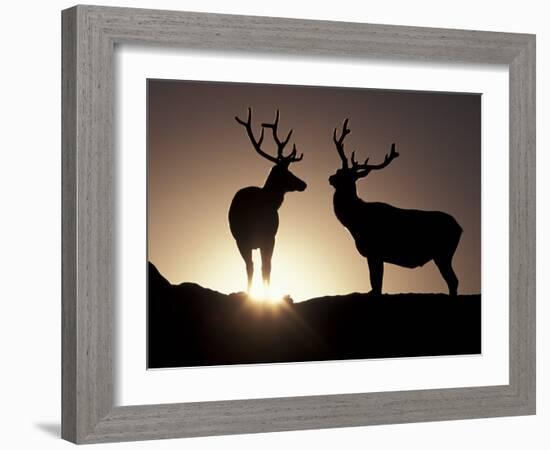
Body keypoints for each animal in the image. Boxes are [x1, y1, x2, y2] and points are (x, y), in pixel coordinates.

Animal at [229, 107, 306, 294]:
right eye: (288, 173)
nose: (303, 184)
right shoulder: (269, 237)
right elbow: (266, 267)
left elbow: (262, 267)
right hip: (248, 239)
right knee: (255, 266)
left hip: (245, 240)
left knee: (252, 266)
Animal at [330, 119, 464, 296]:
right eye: (339, 170)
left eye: (347, 177)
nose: (330, 178)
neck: (355, 222)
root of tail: (460, 228)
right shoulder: (375, 255)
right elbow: (376, 284)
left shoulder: (375, 251)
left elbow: (376, 284)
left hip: (443, 253)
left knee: (453, 280)